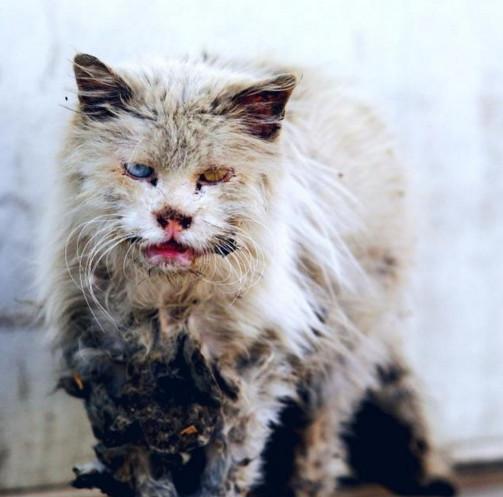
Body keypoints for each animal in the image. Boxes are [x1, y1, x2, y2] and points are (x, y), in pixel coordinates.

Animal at [38, 53, 456, 496]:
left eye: (214, 177)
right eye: (138, 170)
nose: (173, 217)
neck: (170, 307)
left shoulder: (244, 379)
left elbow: (227, 472)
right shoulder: (116, 380)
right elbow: (144, 475)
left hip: (337, 358)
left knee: (317, 445)